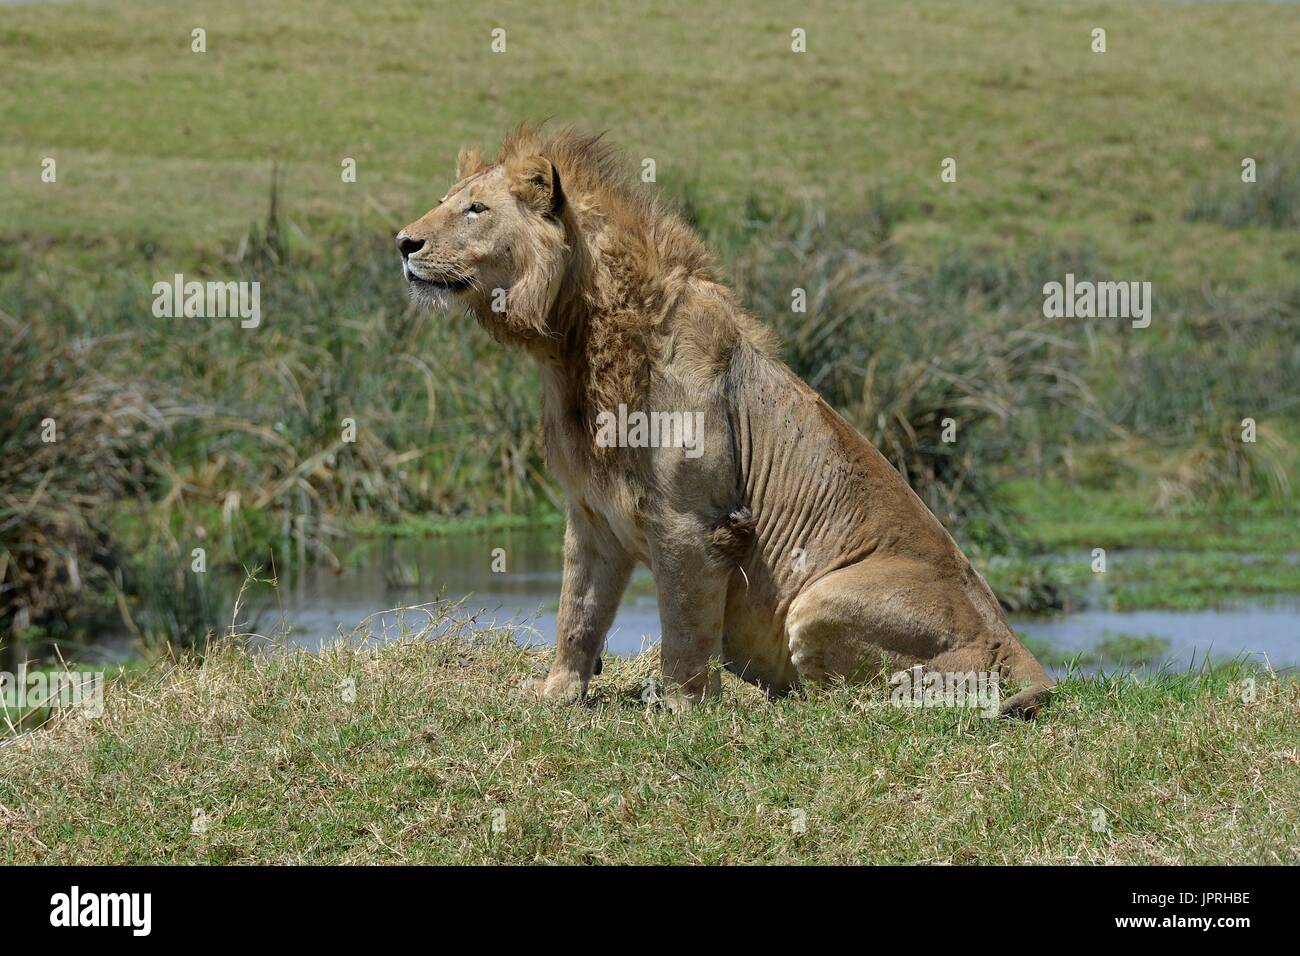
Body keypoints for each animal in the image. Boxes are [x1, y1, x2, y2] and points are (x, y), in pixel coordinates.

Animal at [398, 126, 1054, 717]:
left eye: (475, 209)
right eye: (445, 199)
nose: (404, 242)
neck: (575, 351)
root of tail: (1026, 657)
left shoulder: (694, 523)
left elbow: (684, 634)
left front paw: (682, 711)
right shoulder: (591, 517)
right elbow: (576, 614)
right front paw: (556, 694)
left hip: (820, 599)